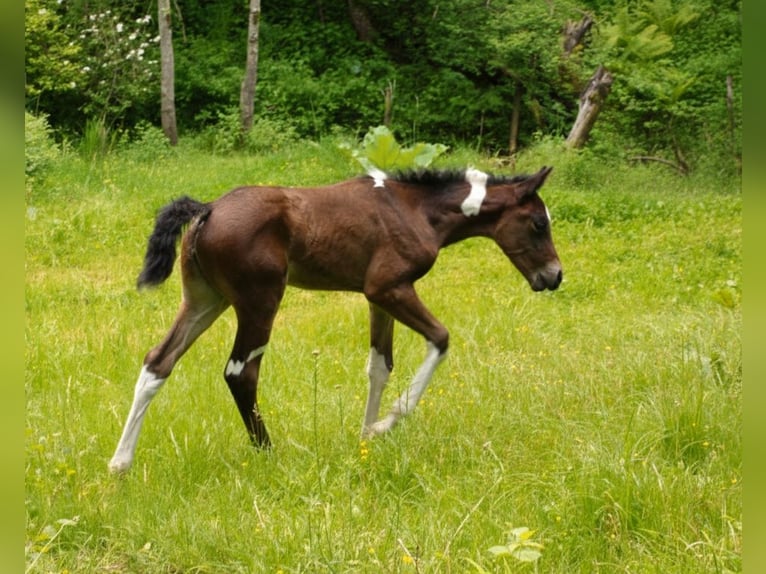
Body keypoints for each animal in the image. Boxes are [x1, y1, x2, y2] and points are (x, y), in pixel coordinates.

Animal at [108, 166, 562, 473]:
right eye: (539, 223)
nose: (555, 276)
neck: (414, 209)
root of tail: (208, 209)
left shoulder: (378, 299)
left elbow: (380, 365)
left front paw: (365, 438)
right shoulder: (389, 288)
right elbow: (441, 339)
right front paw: (385, 425)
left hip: (205, 300)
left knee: (158, 362)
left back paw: (120, 464)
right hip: (259, 301)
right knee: (241, 372)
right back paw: (269, 453)